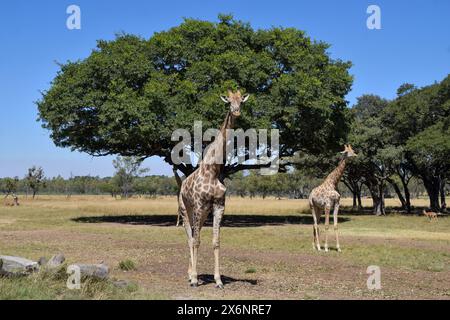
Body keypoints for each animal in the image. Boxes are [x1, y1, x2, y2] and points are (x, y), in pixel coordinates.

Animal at [178, 89, 250, 288]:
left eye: (241, 101)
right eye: (229, 102)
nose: (236, 111)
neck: (213, 170)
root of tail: (181, 186)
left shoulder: (218, 205)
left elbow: (216, 241)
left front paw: (218, 280)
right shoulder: (198, 204)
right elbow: (196, 241)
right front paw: (195, 279)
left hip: (203, 213)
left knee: (194, 235)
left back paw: (190, 273)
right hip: (186, 209)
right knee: (190, 237)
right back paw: (191, 276)